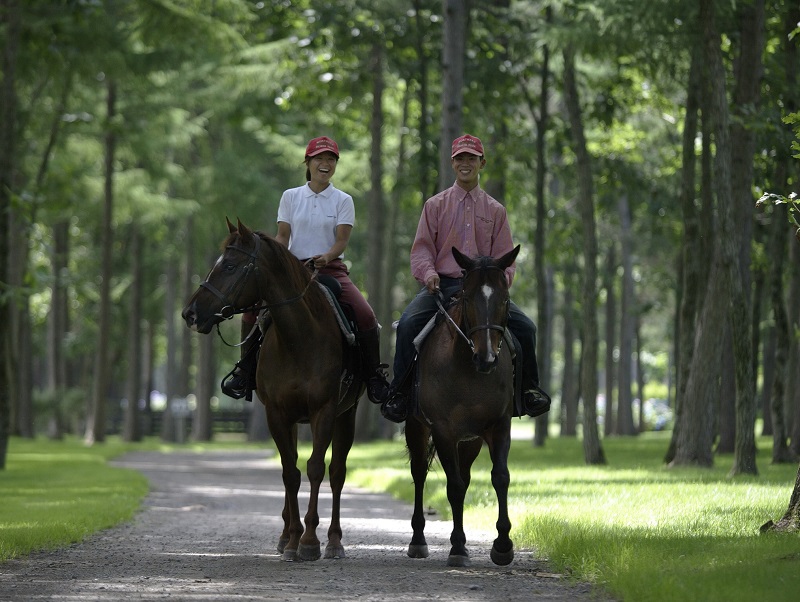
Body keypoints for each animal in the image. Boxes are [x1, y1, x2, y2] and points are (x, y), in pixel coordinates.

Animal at [181, 218, 362, 560]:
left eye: (230, 265)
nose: (190, 313)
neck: (300, 338)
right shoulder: (277, 414)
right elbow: (289, 472)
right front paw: (293, 541)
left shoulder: (325, 411)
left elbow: (316, 468)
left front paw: (310, 541)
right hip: (291, 420)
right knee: (290, 466)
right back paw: (285, 535)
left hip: (347, 416)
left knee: (337, 473)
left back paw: (333, 541)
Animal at [406, 243, 520, 564]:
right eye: (468, 297)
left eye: (505, 299)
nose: (486, 358)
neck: (469, 370)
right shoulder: (443, 431)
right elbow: (454, 487)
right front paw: (457, 547)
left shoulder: (498, 426)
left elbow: (500, 477)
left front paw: (503, 544)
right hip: (417, 427)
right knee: (420, 473)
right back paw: (418, 540)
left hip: (470, 440)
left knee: (466, 476)